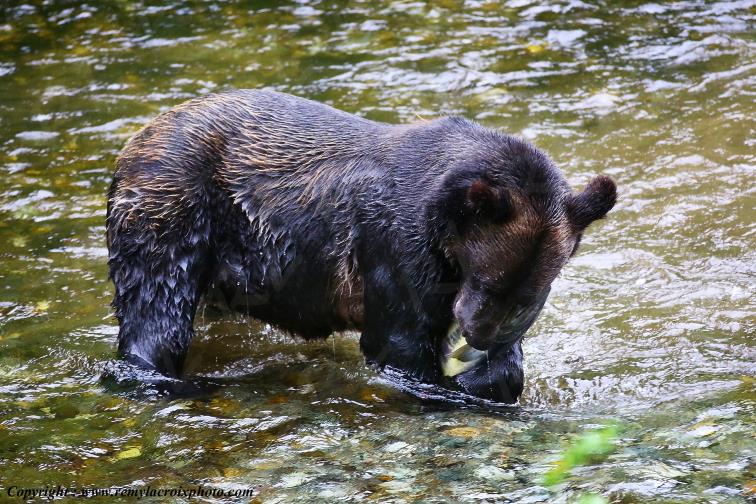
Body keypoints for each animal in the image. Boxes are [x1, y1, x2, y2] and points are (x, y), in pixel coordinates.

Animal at [106, 89, 616, 403]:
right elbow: (399, 345)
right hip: (172, 210)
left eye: (530, 296)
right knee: (157, 309)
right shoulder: (395, 247)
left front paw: (488, 374)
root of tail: (137, 138)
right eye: (488, 280)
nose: (478, 334)